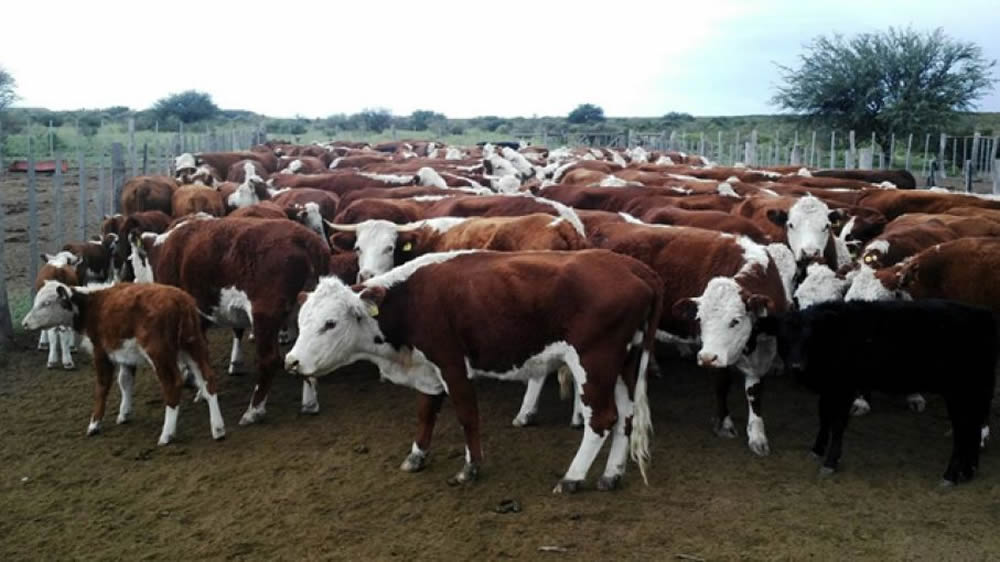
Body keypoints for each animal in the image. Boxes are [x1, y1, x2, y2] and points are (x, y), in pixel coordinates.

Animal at [22, 282, 227, 444]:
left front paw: (94, 424)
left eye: (46, 303)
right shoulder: (126, 355)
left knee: (172, 384)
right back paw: (218, 429)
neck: (92, 305)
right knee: (208, 379)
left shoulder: (101, 352)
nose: (24, 323)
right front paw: (124, 413)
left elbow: (102, 386)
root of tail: (181, 301)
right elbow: (125, 382)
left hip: (159, 353)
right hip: (193, 346)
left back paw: (167, 434)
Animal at [286, 249, 660, 490]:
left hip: (593, 363)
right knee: (625, 417)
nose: (292, 362)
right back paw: (611, 475)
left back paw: (573, 478)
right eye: (301, 321)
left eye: (330, 323)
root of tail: (635, 268)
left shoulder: (452, 363)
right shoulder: (429, 372)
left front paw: (471, 467)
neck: (413, 300)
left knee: (602, 419)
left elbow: (467, 416)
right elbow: (426, 413)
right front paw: (416, 455)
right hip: (624, 365)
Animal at [764, 300, 992, 484]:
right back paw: (968, 471)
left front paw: (830, 461)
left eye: (810, 336)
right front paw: (817, 450)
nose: (796, 366)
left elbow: (837, 424)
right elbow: (824, 417)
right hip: (973, 393)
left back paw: (950, 475)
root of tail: (981, 313)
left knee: (963, 432)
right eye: (783, 337)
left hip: (959, 393)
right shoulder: (829, 388)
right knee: (973, 428)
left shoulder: (844, 388)